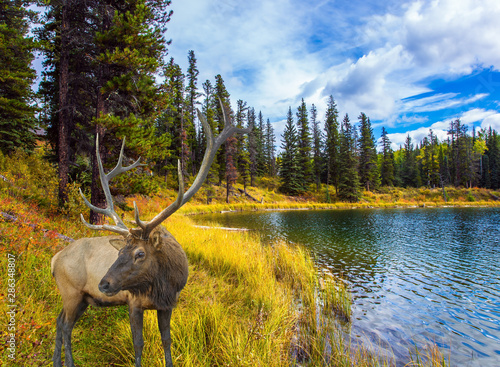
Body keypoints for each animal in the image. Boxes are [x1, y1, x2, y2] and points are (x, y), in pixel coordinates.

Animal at [51, 106, 249, 367]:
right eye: (119, 251)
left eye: (140, 253)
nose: (104, 283)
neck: (162, 284)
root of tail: (54, 260)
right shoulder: (133, 302)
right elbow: (138, 344)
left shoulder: (169, 304)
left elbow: (167, 340)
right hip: (71, 292)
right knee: (65, 326)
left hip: (81, 298)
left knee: (59, 322)